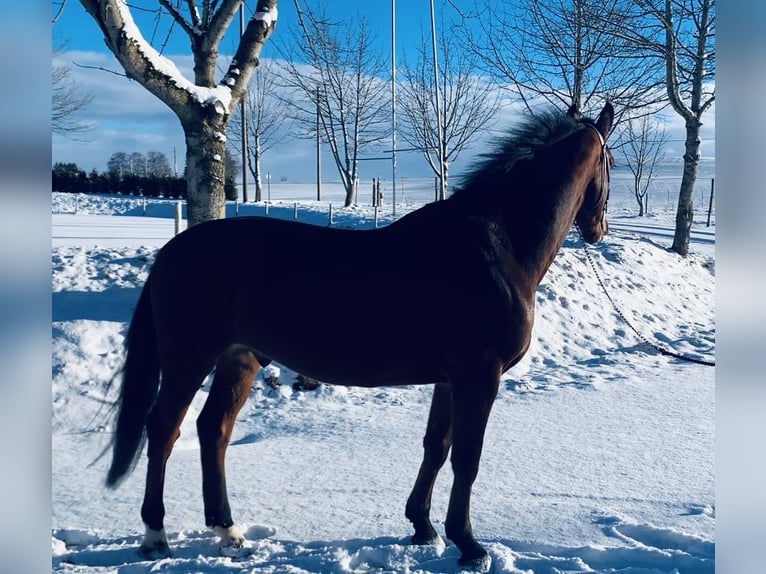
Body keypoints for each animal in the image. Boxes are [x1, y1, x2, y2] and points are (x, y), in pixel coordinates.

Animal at [103, 102, 614, 571]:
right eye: (611, 160)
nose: (599, 229)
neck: (496, 244)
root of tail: (172, 251)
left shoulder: (449, 378)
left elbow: (437, 445)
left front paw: (422, 526)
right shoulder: (479, 375)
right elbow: (466, 457)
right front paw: (468, 544)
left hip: (239, 360)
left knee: (214, 430)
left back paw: (227, 531)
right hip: (188, 359)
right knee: (163, 429)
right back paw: (155, 535)